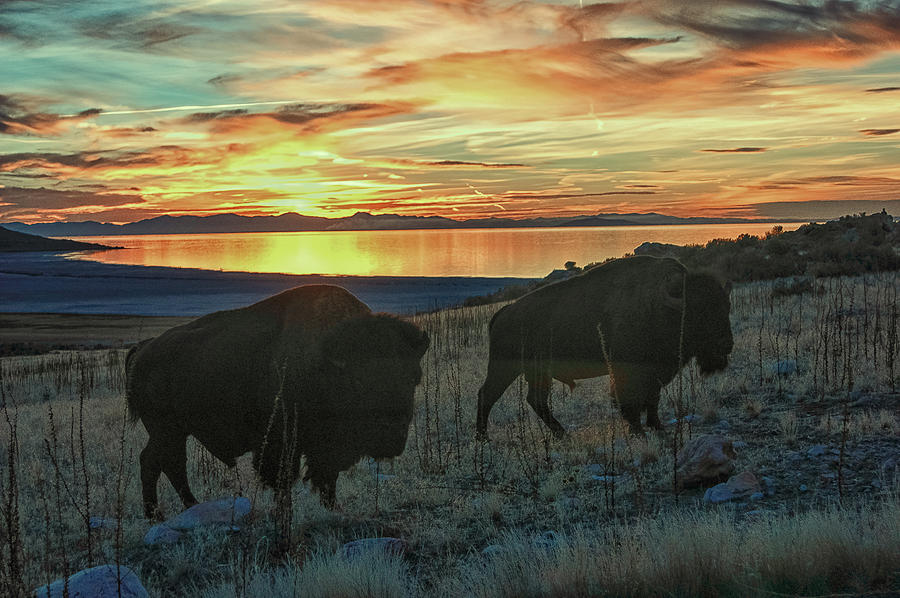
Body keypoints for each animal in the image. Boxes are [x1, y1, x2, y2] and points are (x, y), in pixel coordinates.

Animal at [125, 286, 428, 520]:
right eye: (360, 383)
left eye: (414, 378)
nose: (392, 439)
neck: (326, 360)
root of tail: (143, 348)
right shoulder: (279, 443)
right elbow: (284, 480)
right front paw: (285, 512)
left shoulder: (323, 448)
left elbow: (327, 477)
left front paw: (334, 508)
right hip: (166, 430)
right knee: (156, 462)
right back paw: (157, 514)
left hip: (175, 431)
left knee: (169, 463)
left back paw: (187, 507)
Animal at [478, 255, 732, 438]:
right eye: (698, 313)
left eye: (726, 306)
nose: (727, 345)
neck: (662, 307)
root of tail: (503, 313)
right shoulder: (627, 370)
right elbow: (629, 400)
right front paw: (638, 431)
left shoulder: (655, 372)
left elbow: (653, 399)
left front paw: (657, 427)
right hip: (504, 368)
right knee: (487, 395)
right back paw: (483, 438)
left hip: (538, 372)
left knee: (536, 400)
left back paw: (562, 434)